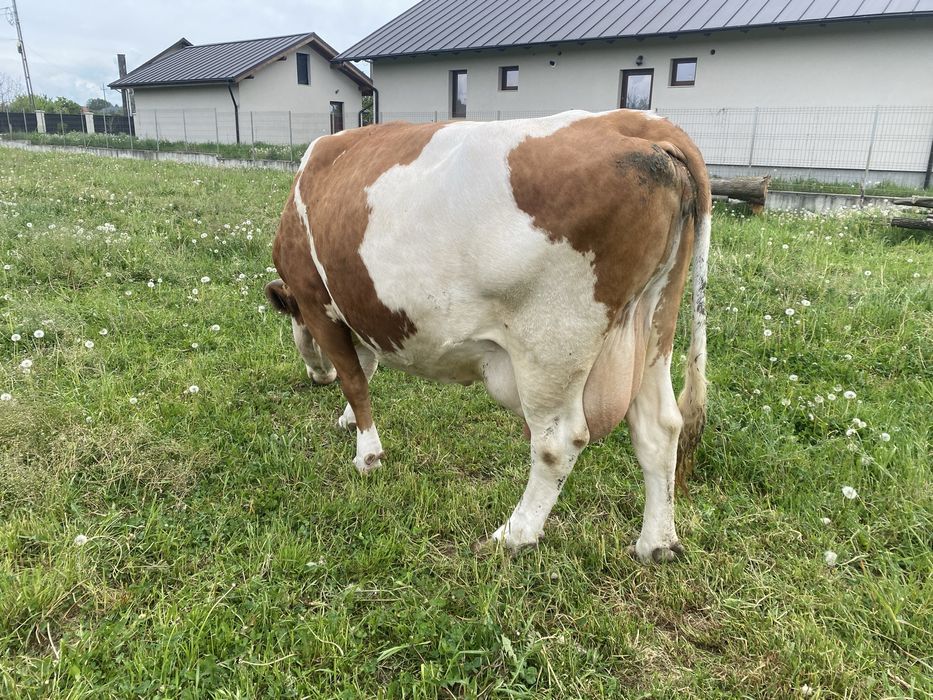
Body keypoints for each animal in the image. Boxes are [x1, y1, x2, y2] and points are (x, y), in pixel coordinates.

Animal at [264, 109, 710, 564]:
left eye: (294, 319)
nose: (318, 378)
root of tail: (633, 122)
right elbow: (366, 366)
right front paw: (350, 421)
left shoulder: (316, 300)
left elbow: (355, 378)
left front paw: (366, 453)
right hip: (652, 323)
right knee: (660, 426)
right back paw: (657, 544)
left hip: (552, 344)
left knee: (558, 442)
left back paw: (514, 534)